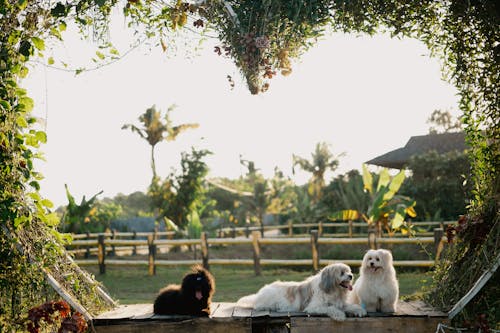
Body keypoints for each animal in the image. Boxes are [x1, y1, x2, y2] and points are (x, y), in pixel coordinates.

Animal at [236, 262, 366, 320]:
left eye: (348, 271)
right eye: (342, 273)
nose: (351, 276)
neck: (333, 289)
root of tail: (260, 293)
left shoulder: (341, 303)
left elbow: (351, 306)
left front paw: (359, 310)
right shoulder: (315, 307)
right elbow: (330, 308)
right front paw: (339, 315)